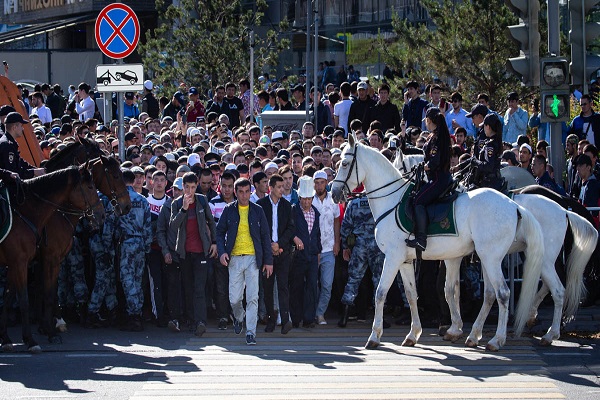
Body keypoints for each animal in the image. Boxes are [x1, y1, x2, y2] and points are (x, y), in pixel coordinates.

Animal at [0, 166, 104, 354]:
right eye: (90, 187)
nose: (102, 215)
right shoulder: (33, 261)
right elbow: (27, 299)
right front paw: (33, 339)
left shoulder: (18, 263)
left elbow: (10, 297)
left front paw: (5, 338)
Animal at [37, 155, 131, 342]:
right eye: (116, 176)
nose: (127, 206)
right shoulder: (51, 256)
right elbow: (50, 289)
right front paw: (53, 323)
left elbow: (47, 288)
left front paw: (48, 323)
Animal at [330, 134, 548, 350]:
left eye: (345, 163)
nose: (334, 193)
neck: (393, 200)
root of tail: (513, 205)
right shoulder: (405, 260)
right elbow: (412, 294)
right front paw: (413, 334)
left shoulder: (392, 257)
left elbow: (381, 293)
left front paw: (374, 336)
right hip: (487, 258)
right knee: (489, 294)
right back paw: (474, 336)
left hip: (491, 258)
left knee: (503, 293)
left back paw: (497, 340)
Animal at [394, 148, 596, 346]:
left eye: (400, 166)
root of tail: (562, 208)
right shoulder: (454, 256)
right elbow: (452, 289)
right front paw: (455, 327)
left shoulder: (450, 256)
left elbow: (446, 288)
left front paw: (450, 325)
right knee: (550, 283)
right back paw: (535, 318)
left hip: (542, 257)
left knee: (556, 286)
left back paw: (547, 329)